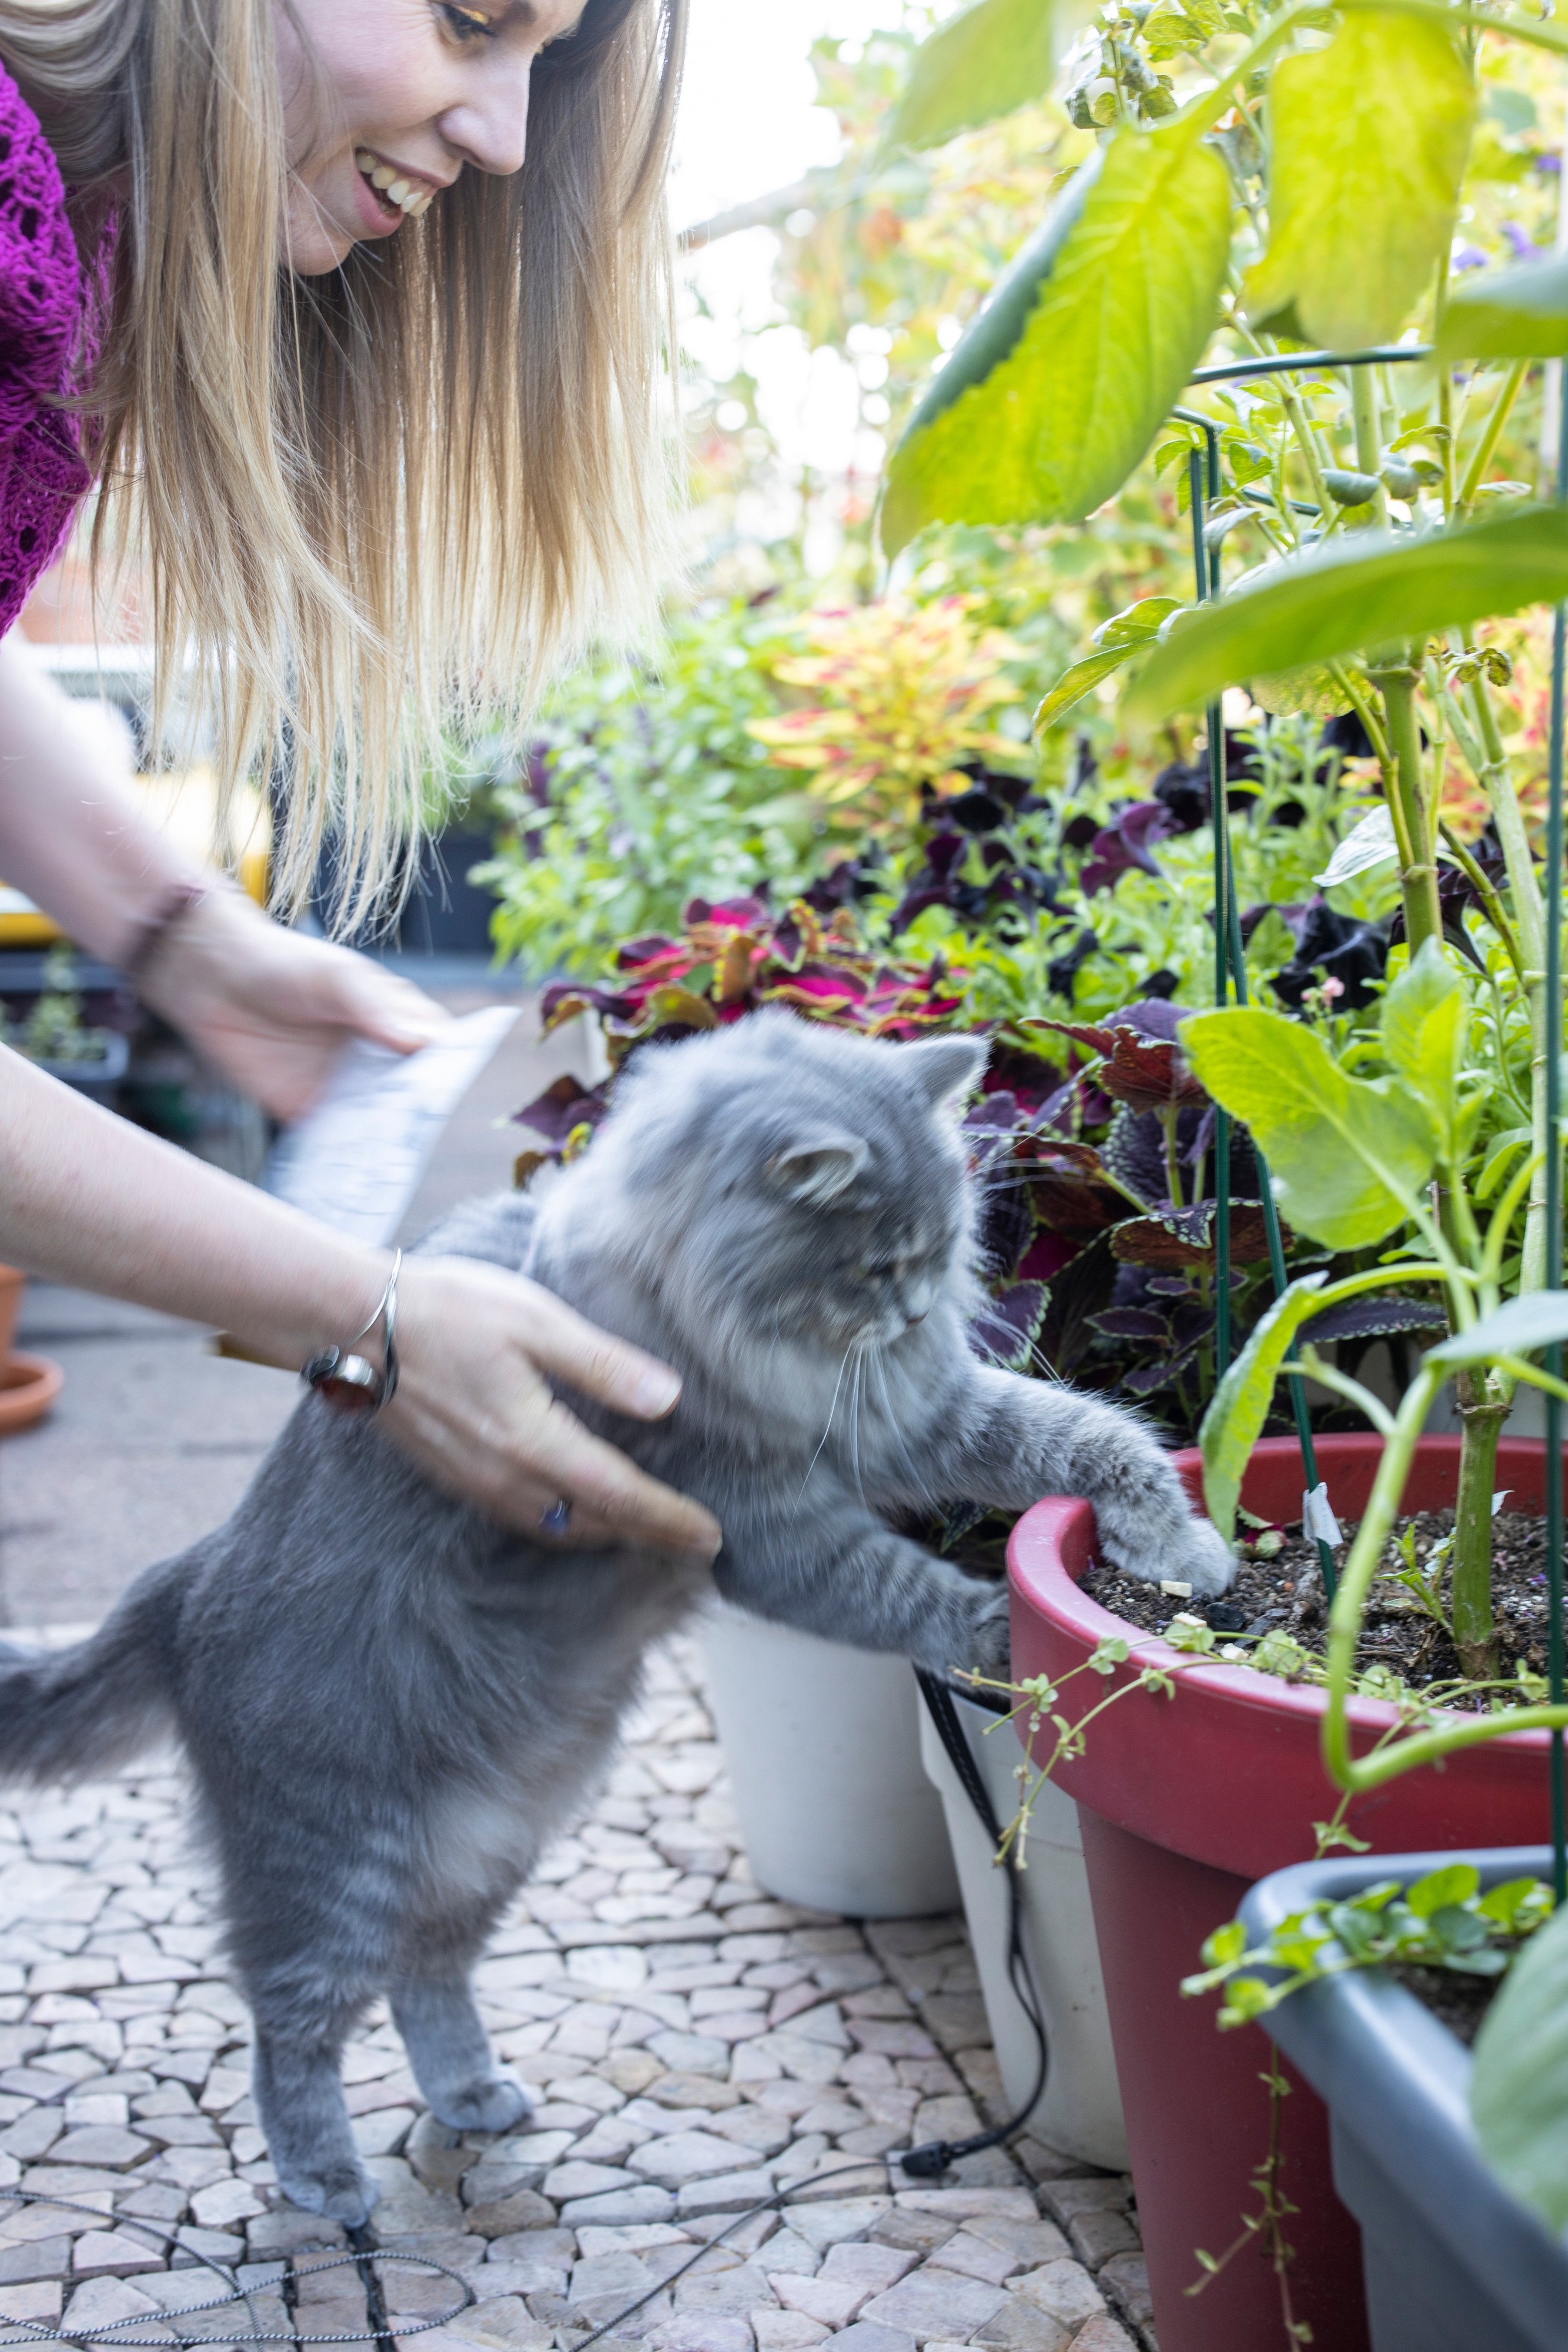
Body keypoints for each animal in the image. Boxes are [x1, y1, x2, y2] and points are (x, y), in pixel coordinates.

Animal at [0, 1011, 1232, 2220]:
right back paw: (325, 2180)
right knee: (290, 2023)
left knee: (422, 1979)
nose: (924, 1309)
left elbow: (1089, 1436)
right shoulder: (764, 1527)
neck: (722, 1331)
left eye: (939, 1248)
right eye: (879, 1263)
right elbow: (909, 1590)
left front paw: (1184, 1554)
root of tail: (183, 1584)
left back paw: (472, 2099)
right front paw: (1023, 1651)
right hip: (334, 1862)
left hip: (486, 1846)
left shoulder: (911, 1417)